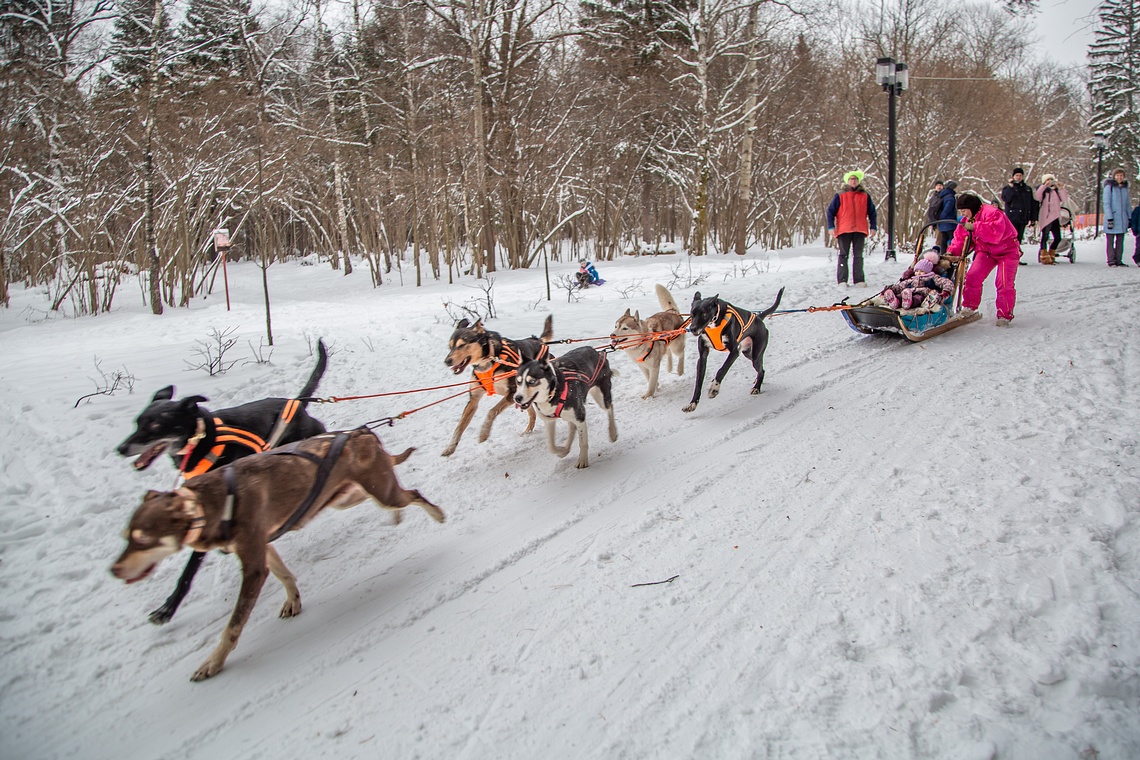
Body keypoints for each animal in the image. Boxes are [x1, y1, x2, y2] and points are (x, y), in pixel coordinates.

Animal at [110, 428, 440, 683]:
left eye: (143, 539)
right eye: (127, 537)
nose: (114, 570)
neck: (212, 501)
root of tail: (361, 434)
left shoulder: (253, 565)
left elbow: (233, 626)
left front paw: (213, 663)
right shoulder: (262, 546)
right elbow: (283, 573)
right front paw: (293, 600)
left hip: (378, 492)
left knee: (413, 494)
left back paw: (437, 514)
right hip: (351, 496)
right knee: (400, 495)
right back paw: (399, 516)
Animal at [116, 341, 328, 619]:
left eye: (155, 425)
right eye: (138, 422)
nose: (121, 448)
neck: (204, 441)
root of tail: (296, 403)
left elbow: (189, 570)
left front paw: (168, 608)